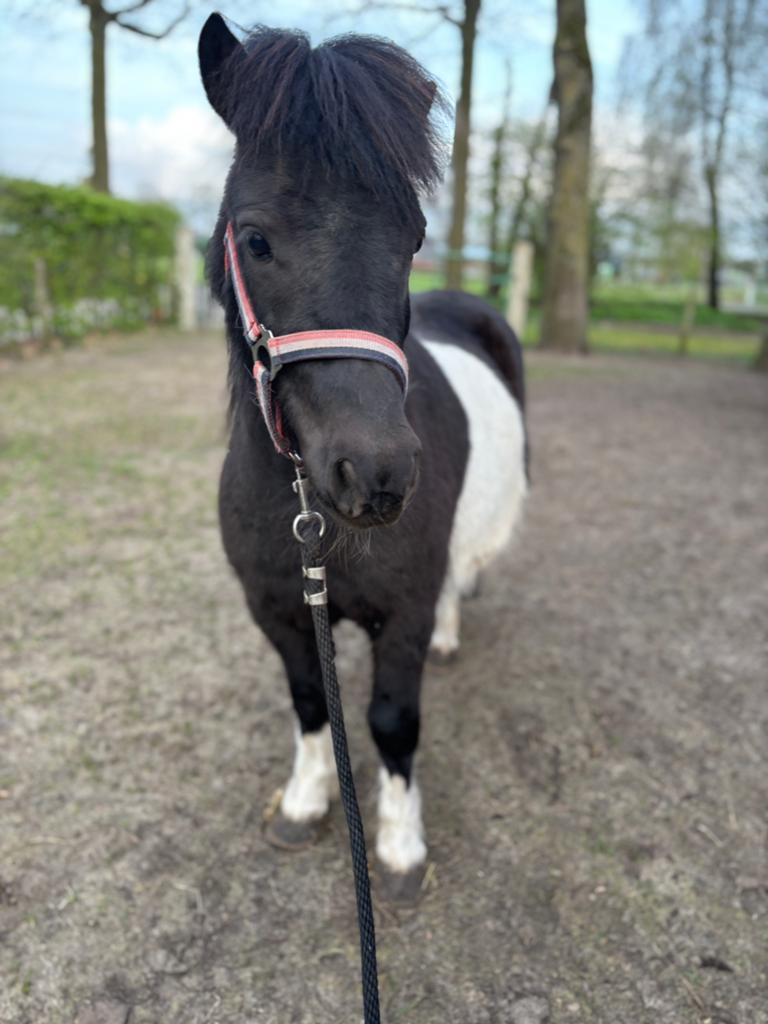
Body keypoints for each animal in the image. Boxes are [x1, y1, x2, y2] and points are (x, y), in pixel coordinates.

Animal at [198, 14, 528, 898]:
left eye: (412, 239)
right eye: (255, 238)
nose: (375, 473)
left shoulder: (401, 615)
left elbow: (391, 721)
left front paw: (402, 847)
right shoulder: (276, 608)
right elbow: (312, 701)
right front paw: (305, 803)